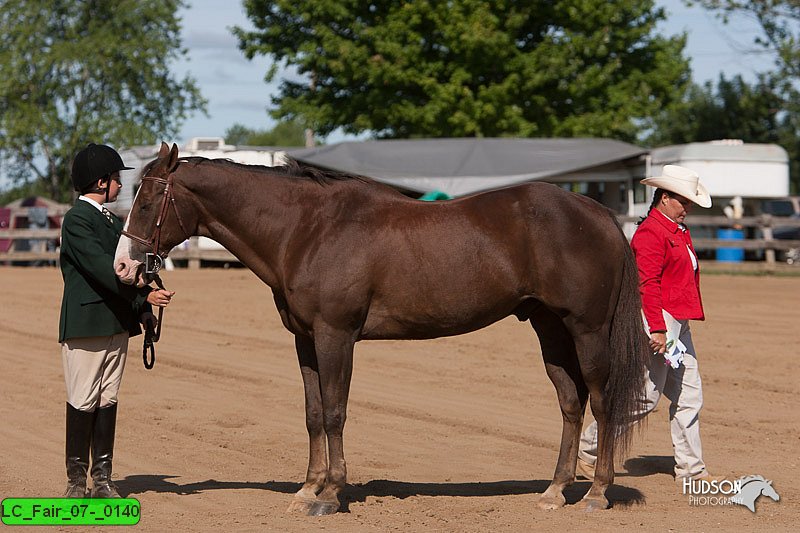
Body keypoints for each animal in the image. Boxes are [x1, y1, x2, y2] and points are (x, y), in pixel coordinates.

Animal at [114, 142, 648, 516]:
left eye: (149, 199)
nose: (124, 265)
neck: (307, 229)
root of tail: (598, 213)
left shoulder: (335, 335)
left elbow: (335, 412)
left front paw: (331, 494)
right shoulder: (305, 339)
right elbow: (313, 413)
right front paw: (307, 488)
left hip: (587, 330)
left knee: (601, 402)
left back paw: (596, 493)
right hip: (549, 329)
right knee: (571, 403)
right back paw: (555, 491)